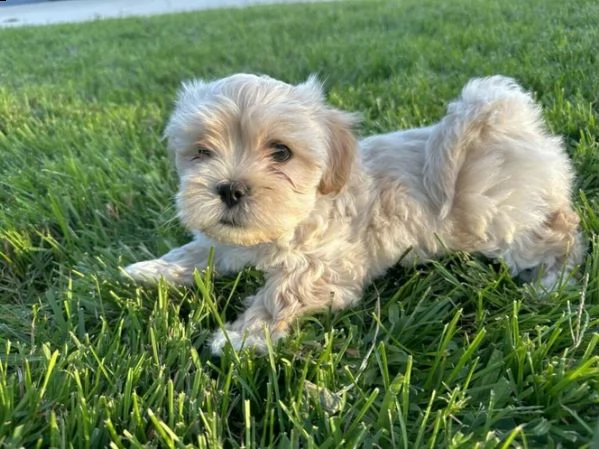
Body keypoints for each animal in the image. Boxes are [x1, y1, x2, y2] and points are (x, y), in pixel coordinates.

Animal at [124, 73, 584, 354]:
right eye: (202, 152)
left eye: (281, 152)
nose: (230, 189)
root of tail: (505, 115)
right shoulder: (226, 239)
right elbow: (198, 249)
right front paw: (150, 270)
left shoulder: (331, 266)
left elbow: (282, 292)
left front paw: (244, 336)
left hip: (497, 218)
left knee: (562, 232)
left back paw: (553, 283)